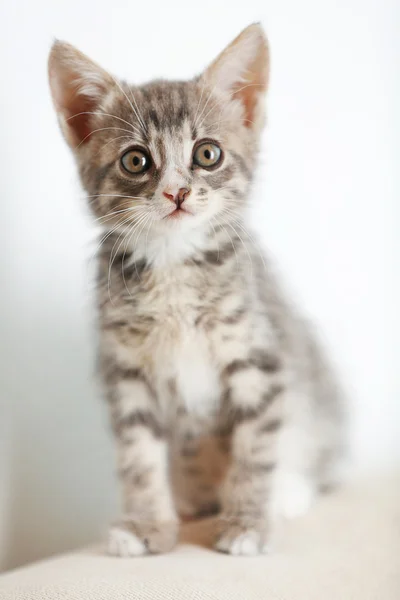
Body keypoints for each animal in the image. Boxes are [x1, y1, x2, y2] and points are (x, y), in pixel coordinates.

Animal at [48, 24, 346, 556]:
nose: (177, 192)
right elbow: (138, 457)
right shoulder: (127, 374)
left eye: (207, 153)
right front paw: (146, 524)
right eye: (136, 160)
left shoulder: (257, 358)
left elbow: (256, 446)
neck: (173, 264)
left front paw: (247, 521)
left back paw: (288, 491)